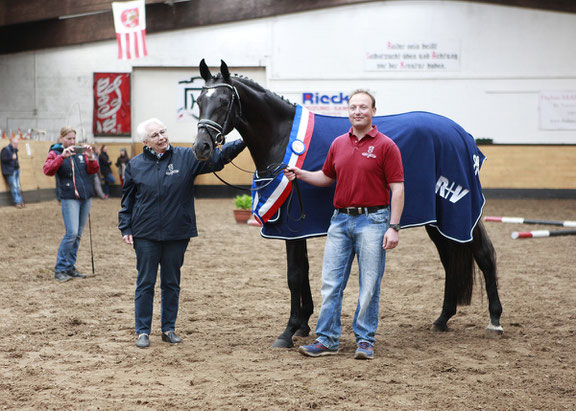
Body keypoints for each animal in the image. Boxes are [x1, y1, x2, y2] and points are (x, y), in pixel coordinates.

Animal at [194, 59, 504, 350]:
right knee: (450, 261)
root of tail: (461, 134)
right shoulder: (297, 227)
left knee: (484, 254)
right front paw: (303, 325)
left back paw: (495, 320)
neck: (282, 137)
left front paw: (288, 331)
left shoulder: (291, 226)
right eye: (199, 101)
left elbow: (294, 275)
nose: (201, 148)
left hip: (461, 213)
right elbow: (303, 273)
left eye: (224, 102)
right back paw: (442, 319)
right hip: (436, 221)